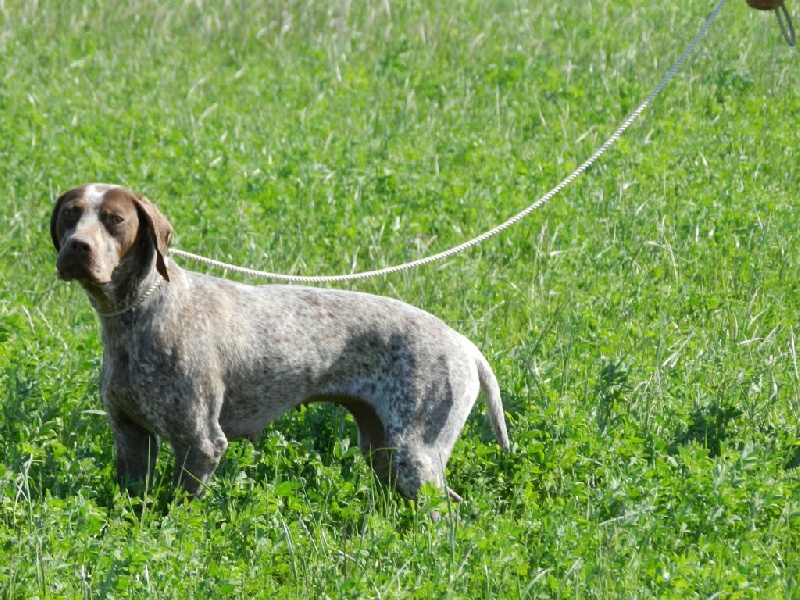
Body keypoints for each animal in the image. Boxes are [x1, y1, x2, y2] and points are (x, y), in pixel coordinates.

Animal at [51, 183, 512, 502]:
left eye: (115, 219)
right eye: (70, 215)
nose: (78, 247)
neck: (136, 314)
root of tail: (464, 344)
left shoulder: (201, 443)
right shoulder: (130, 438)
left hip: (415, 454)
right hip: (383, 450)